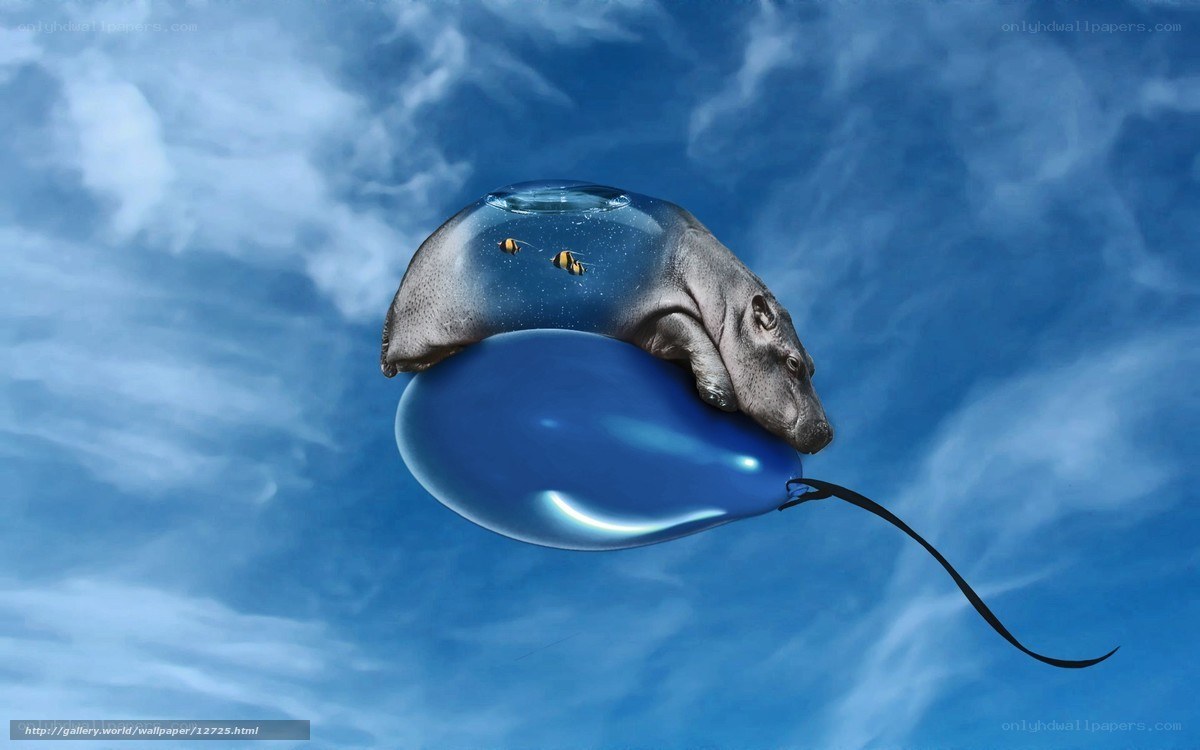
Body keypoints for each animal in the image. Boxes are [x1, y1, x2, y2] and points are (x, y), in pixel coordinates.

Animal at [380, 180, 833, 454]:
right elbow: (693, 332)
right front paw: (720, 396)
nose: (828, 432)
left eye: (813, 364)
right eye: (793, 363)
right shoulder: (660, 312)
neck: (726, 301)